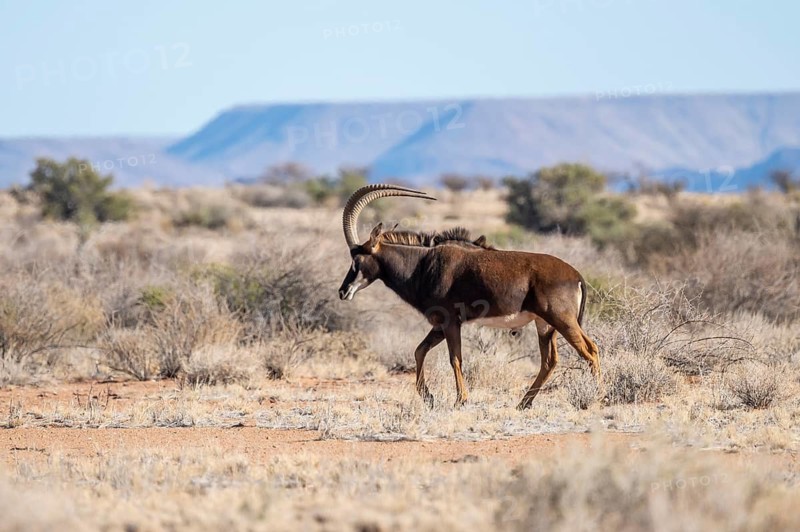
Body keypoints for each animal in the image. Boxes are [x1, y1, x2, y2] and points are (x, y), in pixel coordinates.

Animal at [338, 184, 600, 409]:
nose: (343, 291)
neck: (422, 265)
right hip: (545, 325)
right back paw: (523, 403)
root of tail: (576, 275)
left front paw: (460, 400)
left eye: (357, 259)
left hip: (561, 320)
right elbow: (419, 351)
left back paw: (598, 397)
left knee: (590, 350)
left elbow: (455, 359)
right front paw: (428, 397)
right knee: (550, 361)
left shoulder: (451, 322)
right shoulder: (439, 324)